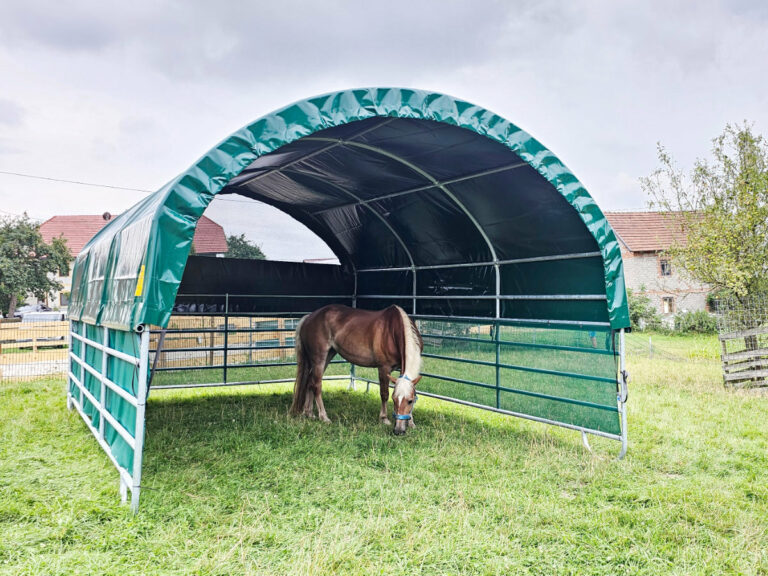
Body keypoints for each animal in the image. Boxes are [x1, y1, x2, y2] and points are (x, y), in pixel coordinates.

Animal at [288, 304, 424, 434]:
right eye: (394, 399)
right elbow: (384, 394)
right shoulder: (384, 368)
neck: (393, 330)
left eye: (410, 401)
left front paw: (411, 423)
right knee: (316, 385)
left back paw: (309, 413)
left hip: (327, 356)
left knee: (310, 382)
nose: (398, 430)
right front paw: (384, 419)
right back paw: (324, 417)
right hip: (319, 359)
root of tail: (309, 318)